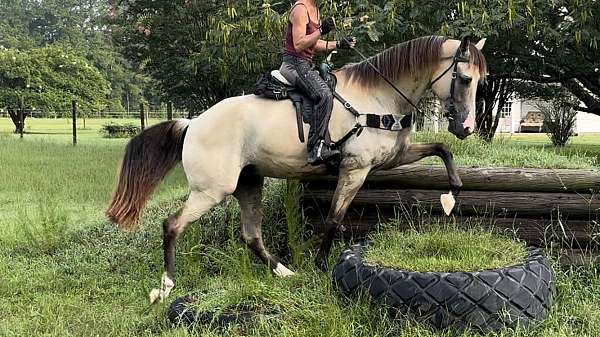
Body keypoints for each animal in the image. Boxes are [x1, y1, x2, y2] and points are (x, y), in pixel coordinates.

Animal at [104, 36, 488, 302]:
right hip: (212, 191)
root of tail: (193, 123)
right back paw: (166, 284)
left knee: (251, 235)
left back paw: (284, 271)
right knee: (172, 225)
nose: (467, 127)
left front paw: (451, 194)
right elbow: (333, 219)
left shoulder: (394, 155)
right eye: (465, 78)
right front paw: (320, 265)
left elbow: (442, 149)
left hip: (249, 184)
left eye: (481, 80)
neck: (378, 96)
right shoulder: (355, 169)